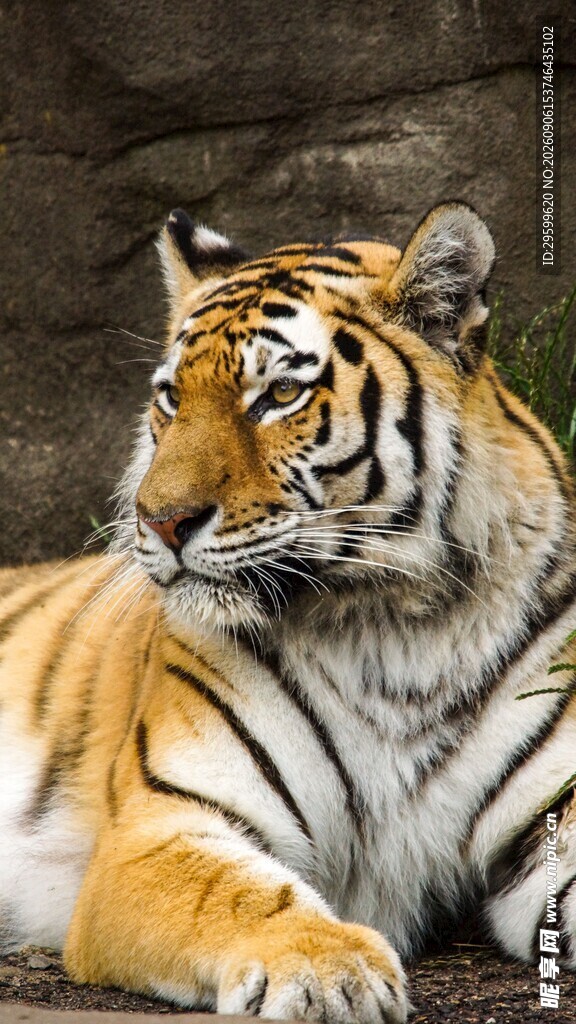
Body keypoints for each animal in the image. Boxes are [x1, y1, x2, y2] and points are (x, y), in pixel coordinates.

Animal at [1, 200, 575, 1023]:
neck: (391, 623)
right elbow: (237, 895)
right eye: (171, 399)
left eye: (277, 397)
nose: (160, 520)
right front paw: (328, 970)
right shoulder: (163, 824)